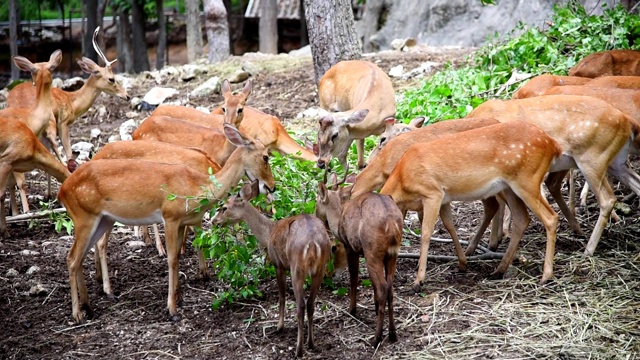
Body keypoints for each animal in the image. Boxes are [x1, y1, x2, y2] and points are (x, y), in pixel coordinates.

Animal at [60, 124, 278, 324]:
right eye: (266, 157)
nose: (272, 186)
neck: (197, 186)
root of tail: (62, 190)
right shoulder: (170, 216)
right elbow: (172, 259)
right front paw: (172, 309)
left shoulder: (182, 222)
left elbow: (179, 257)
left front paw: (179, 297)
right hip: (83, 217)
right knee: (72, 258)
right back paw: (78, 313)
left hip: (103, 219)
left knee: (83, 255)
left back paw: (90, 307)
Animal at [212, 181, 330, 358]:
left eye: (224, 207)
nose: (214, 221)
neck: (268, 233)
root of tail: (313, 243)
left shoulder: (278, 264)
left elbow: (281, 296)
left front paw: (279, 326)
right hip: (320, 269)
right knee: (310, 303)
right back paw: (311, 343)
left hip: (297, 267)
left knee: (301, 305)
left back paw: (299, 349)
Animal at [314, 174, 400, 348]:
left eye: (317, 199)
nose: (314, 214)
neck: (338, 221)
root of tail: (392, 224)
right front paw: (374, 307)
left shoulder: (350, 246)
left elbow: (354, 278)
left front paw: (352, 310)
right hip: (391, 254)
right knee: (390, 288)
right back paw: (392, 333)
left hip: (372, 250)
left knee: (383, 288)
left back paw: (376, 338)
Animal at [378, 122, 564, 292]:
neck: (402, 178)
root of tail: (553, 144)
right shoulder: (442, 199)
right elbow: (449, 226)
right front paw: (462, 263)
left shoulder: (433, 193)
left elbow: (426, 233)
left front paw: (418, 281)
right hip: (510, 187)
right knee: (522, 219)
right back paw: (499, 270)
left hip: (527, 180)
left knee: (551, 217)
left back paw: (546, 276)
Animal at [468, 94, 640, 255]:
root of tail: (627, 121)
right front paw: (495, 241)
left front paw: (491, 243)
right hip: (616, 162)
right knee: (636, 184)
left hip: (592, 157)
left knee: (608, 199)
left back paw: (588, 250)